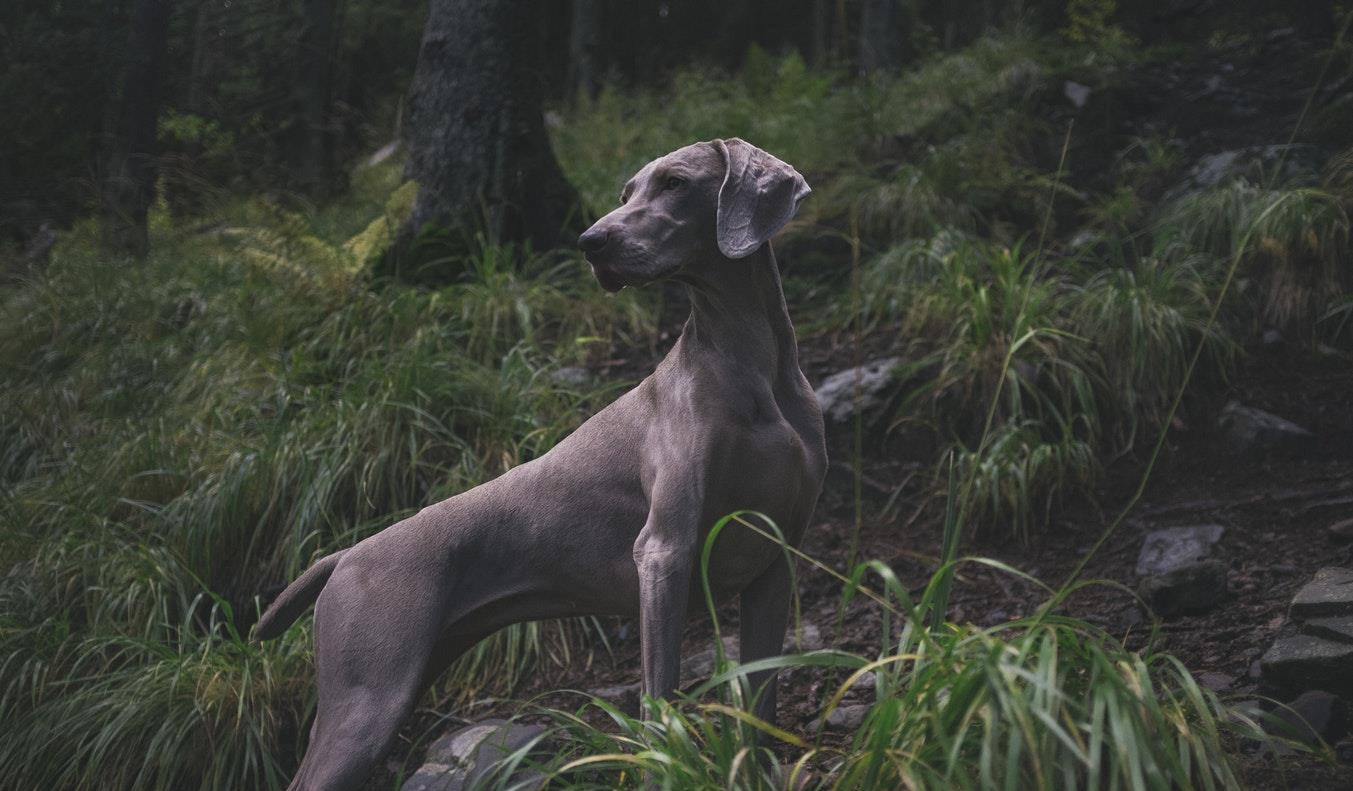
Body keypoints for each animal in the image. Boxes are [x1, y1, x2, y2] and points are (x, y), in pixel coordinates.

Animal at [253, 138, 822, 784]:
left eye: (675, 183)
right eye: (626, 193)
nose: (589, 241)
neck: (751, 364)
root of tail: (343, 555)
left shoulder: (775, 559)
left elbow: (762, 706)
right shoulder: (664, 553)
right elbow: (659, 705)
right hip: (366, 701)